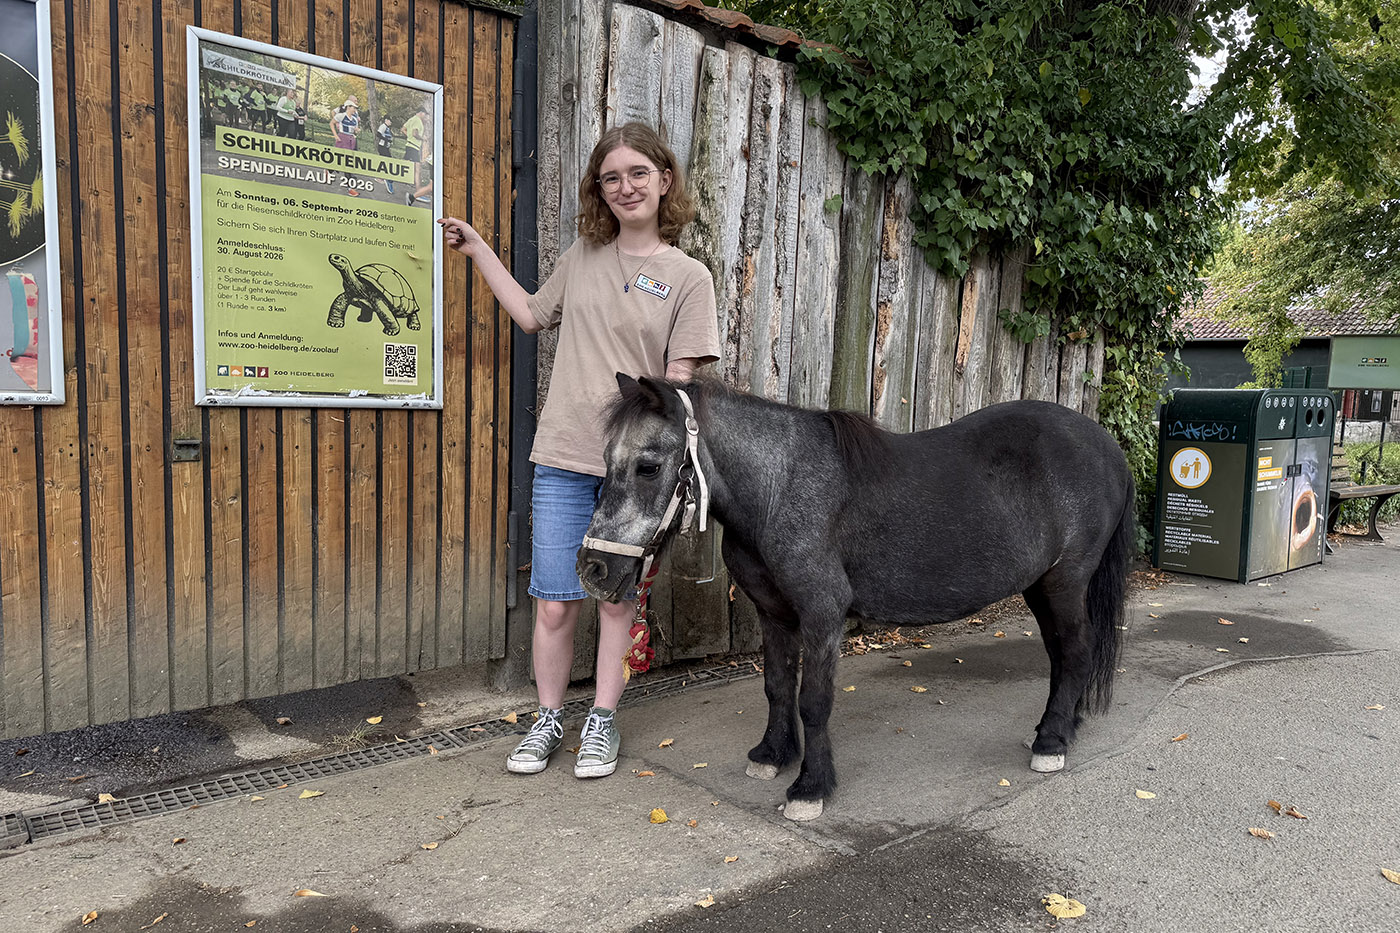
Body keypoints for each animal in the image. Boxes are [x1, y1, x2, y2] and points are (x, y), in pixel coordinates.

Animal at [577, 374, 1135, 821]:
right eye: (605, 461)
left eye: (649, 467)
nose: (592, 569)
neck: (781, 488)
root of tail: (1108, 448)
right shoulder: (775, 615)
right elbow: (778, 687)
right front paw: (772, 756)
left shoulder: (822, 615)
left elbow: (814, 701)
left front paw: (810, 788)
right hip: (1042, 587)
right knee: (1063, 655)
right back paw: (1056, 727)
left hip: (1065, 583)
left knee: (1077, 651)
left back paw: (1052, 741)